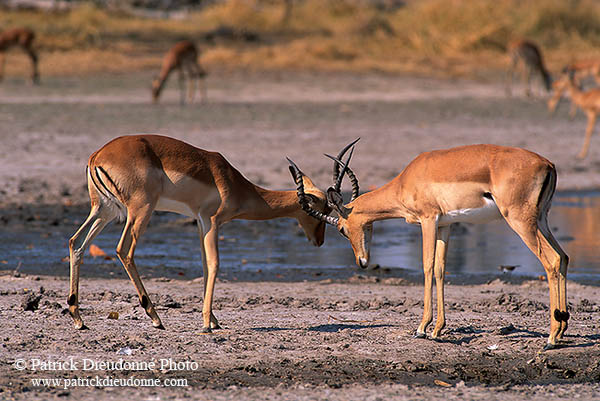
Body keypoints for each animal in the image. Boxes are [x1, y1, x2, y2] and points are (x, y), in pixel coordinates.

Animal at [288, 143, 568, 346]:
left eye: (342, 229)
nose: (362, 261)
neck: (408, 179)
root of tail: (548, 164)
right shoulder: (446, 224)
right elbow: (441, 269)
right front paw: (437, 330)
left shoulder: (428, 220)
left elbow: (427, 266)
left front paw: (422, 328)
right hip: (541, 219)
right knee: (563, 257)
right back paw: (563, 326)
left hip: (520, 220)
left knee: (551, 260)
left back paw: (552, 337)